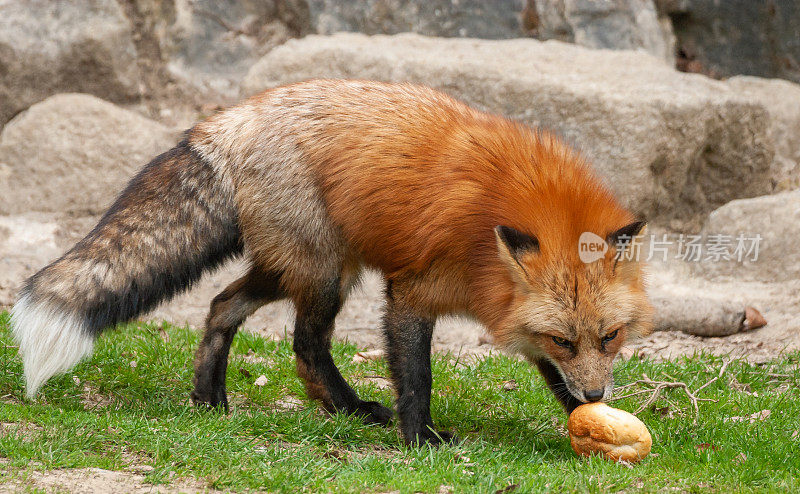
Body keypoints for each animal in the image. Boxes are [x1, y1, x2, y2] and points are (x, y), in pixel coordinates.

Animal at [9, 80, 652, 444]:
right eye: (566, 339)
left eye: (611, 336)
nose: (596, 397)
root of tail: (226, 121)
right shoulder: (412, 292)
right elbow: (416, 377)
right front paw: (420, 440)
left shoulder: (514, 315)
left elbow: (549, 373)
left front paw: (588, 418)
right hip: (324, 277)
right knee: (305, 347)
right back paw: (350, 408)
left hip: (297, 268)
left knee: (220, 306)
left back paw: (209, 397)